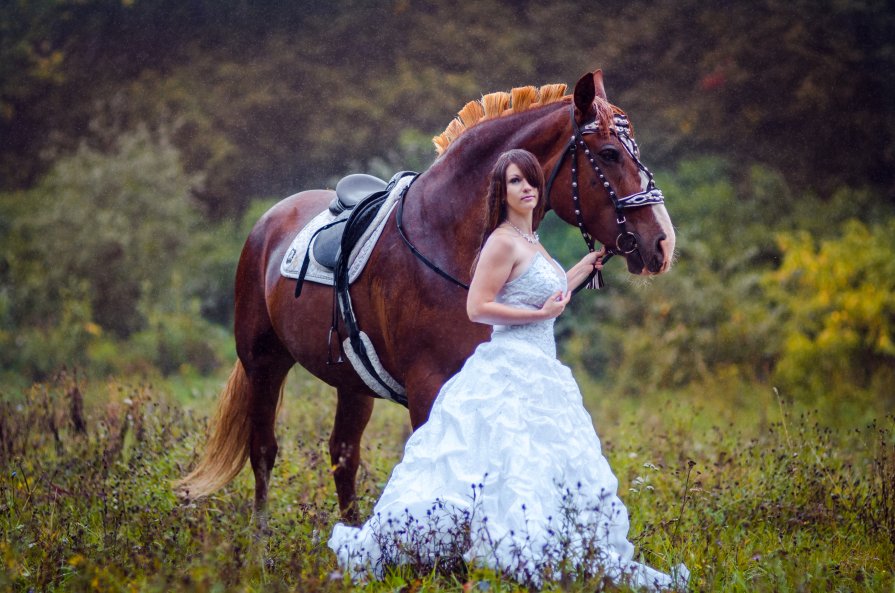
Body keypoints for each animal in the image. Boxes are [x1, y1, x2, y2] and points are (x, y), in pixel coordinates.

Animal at [178, 67, 676, 524]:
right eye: (609, 153)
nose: (663, 243)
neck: (448, 238)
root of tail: (270, 221)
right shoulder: (427, 387)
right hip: (264, 361)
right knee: (263, 450)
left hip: (350, 383)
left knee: (343, 456)